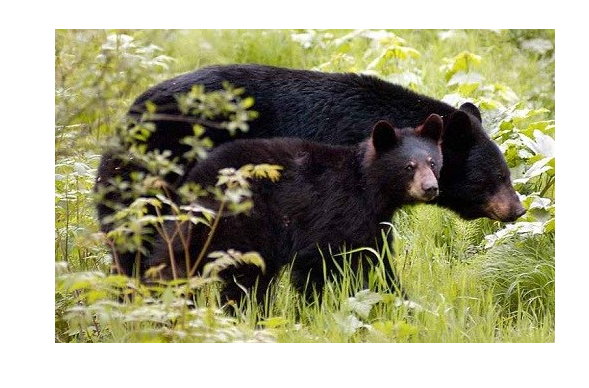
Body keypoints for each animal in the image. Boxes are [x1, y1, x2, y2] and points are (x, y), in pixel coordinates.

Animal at [145, 115, 444, 304]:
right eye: (409, 166)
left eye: (432, 162)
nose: (431, 188)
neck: (369, 190)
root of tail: (195, 183)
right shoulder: (332, 211)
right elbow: (314, 264)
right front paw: (311, 312)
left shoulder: (372, 224)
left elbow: (378, 265)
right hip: (244, 224)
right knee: (244, 280)